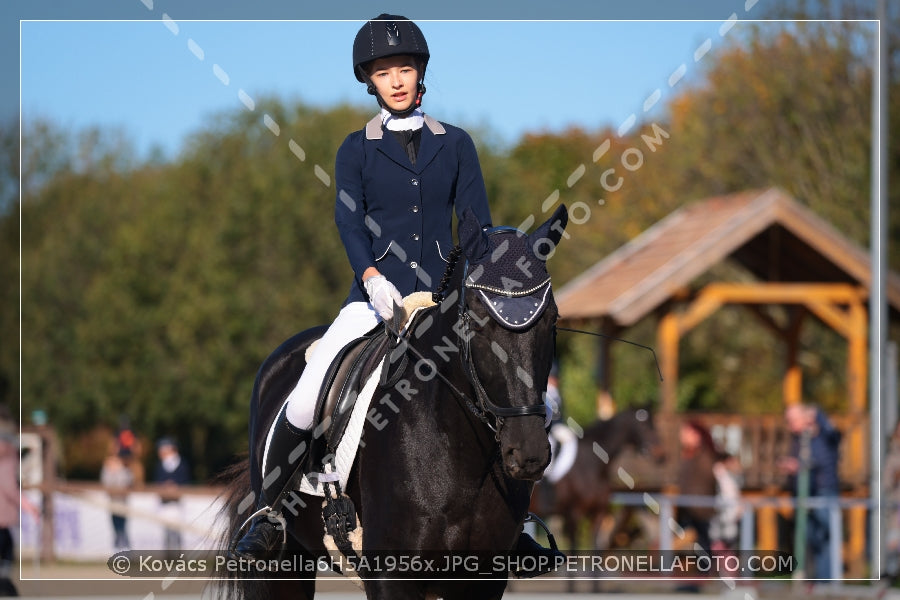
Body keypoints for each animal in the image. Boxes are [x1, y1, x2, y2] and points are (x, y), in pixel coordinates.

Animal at [217, 206, 568, 600]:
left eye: (552, 319)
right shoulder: (391, 575)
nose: (529, 452)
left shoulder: (482, 580)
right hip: (284, 564)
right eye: (477, 321)